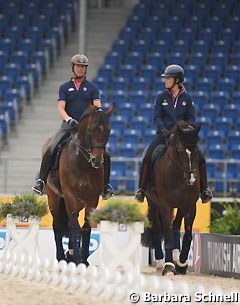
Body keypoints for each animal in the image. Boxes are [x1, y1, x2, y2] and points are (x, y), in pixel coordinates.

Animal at [45, 104, 113, 264]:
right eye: (91, 129)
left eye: (108, 130)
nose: (97, 160)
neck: (82, 162)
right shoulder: (70, 195)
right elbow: (75, 229)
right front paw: (77, 258)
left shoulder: (92, 199)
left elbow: (85, 227)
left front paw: (84, 259)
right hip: (54, 198)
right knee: (57, 225)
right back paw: (61, 257)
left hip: (79, 202)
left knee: (70, 223)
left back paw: (69, 255)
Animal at [142, 120, 201, 276]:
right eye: (180, 149)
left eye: (196, 150)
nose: (191, 179)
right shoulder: (165, 205)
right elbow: (167, 233)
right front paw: (169, 267)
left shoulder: (190, 206)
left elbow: (187, 234)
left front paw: (182, 264)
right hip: (153, 203)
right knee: (157, 229)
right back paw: (160, 263)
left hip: (180, 207)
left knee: (176, 225)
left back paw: (176, 256)